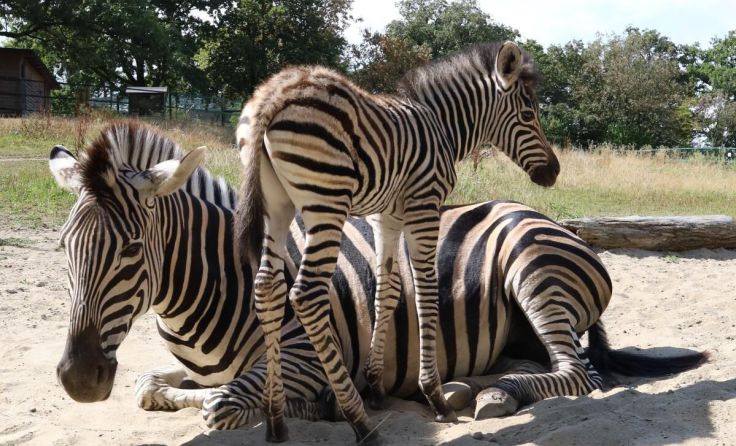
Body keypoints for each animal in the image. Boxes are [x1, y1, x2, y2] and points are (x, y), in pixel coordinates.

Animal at [50, 121, 705, 434]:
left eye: (132, 249)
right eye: (63, 249)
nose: (78, 380)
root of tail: (547, 217)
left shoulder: (304, 354)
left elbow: (223, 404)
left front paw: (320, 405)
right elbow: (150, 386)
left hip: (533, 268)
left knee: (580, 374)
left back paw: (494, 395)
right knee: (544, 363)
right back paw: (467, 388)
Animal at [236, 40, 560, 442]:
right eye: (529, 114)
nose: (554, 172)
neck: (442, 125)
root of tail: (275, 93)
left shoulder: (386, 217)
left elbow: (387, 291)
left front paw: (376, 384)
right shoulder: (424, 205)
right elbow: (425, 293)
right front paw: (434, 395)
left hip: (277, 206)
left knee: (267, 289)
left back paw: (276, 417)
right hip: (326, 203)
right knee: (306, 296)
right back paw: (359, 421)